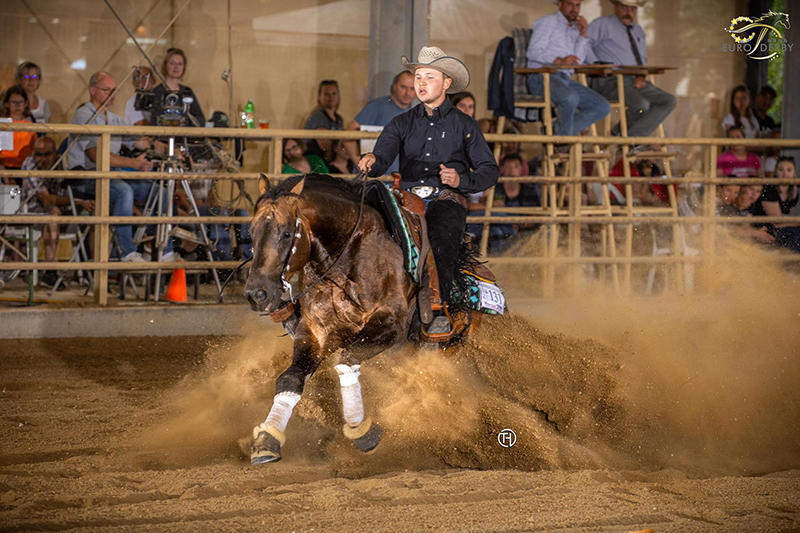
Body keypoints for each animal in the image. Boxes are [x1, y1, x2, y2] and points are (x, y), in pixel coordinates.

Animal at [244, 174, 418, 462]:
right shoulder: (315, 330)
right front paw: (267, 438)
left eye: (287, 233)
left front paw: (361, 431)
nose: (256, 293)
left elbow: (346, 361)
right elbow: (291, 377)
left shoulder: (393, 324)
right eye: (251, 232)